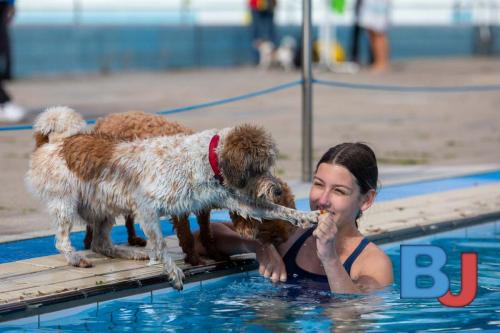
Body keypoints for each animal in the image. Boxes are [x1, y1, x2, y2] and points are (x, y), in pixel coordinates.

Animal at [25, 106, 318, 288]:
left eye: (269, 166)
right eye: (257, 168)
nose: (277, 189)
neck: (206, 159)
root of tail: (52, 143)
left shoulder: (231, 199)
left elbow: (270, 209)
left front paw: (306, 215)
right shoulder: (149, 208)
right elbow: (167, 243)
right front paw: (175, 271)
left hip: (104, 208)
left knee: (100, 243)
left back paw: (129, 253)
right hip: (65, 204)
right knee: (64, 240)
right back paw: (76, 258)